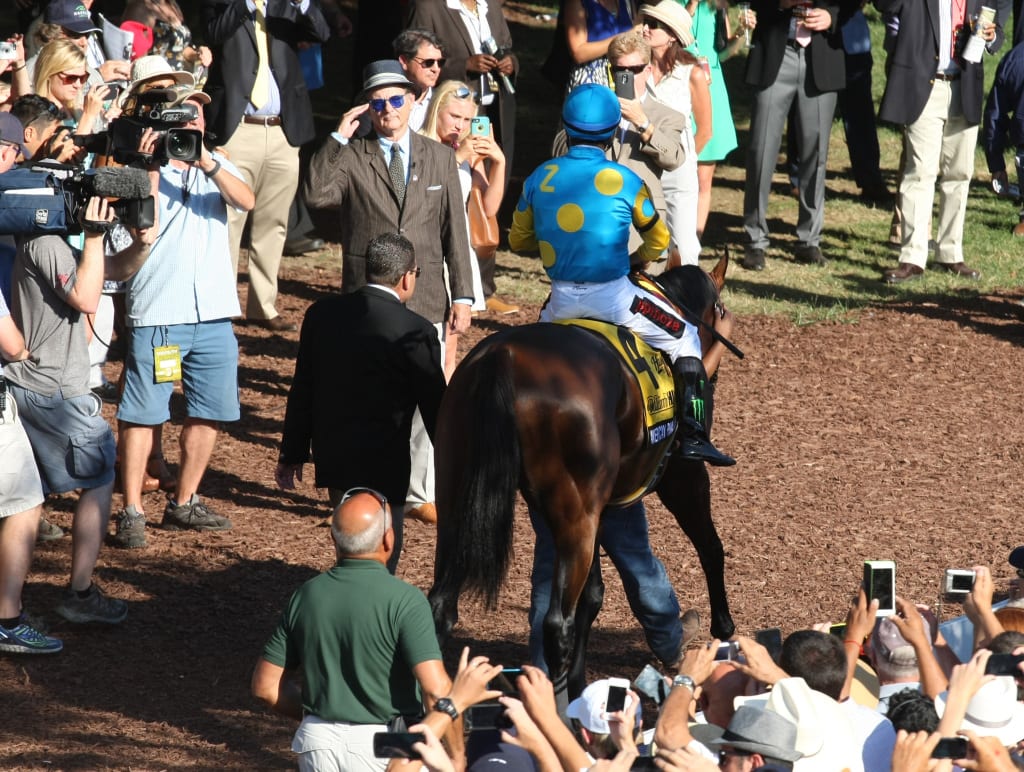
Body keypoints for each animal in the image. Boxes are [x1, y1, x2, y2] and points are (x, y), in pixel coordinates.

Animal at [430, 255, 737, 696]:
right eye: (721, 310)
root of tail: (503, 356)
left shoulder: (602, 507)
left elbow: (593, 595)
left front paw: (579, 678)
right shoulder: (683, 475)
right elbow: (711, 547)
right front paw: (724, 628)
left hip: (458, 494)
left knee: (441, 605)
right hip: (576, 514)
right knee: (557, 624)